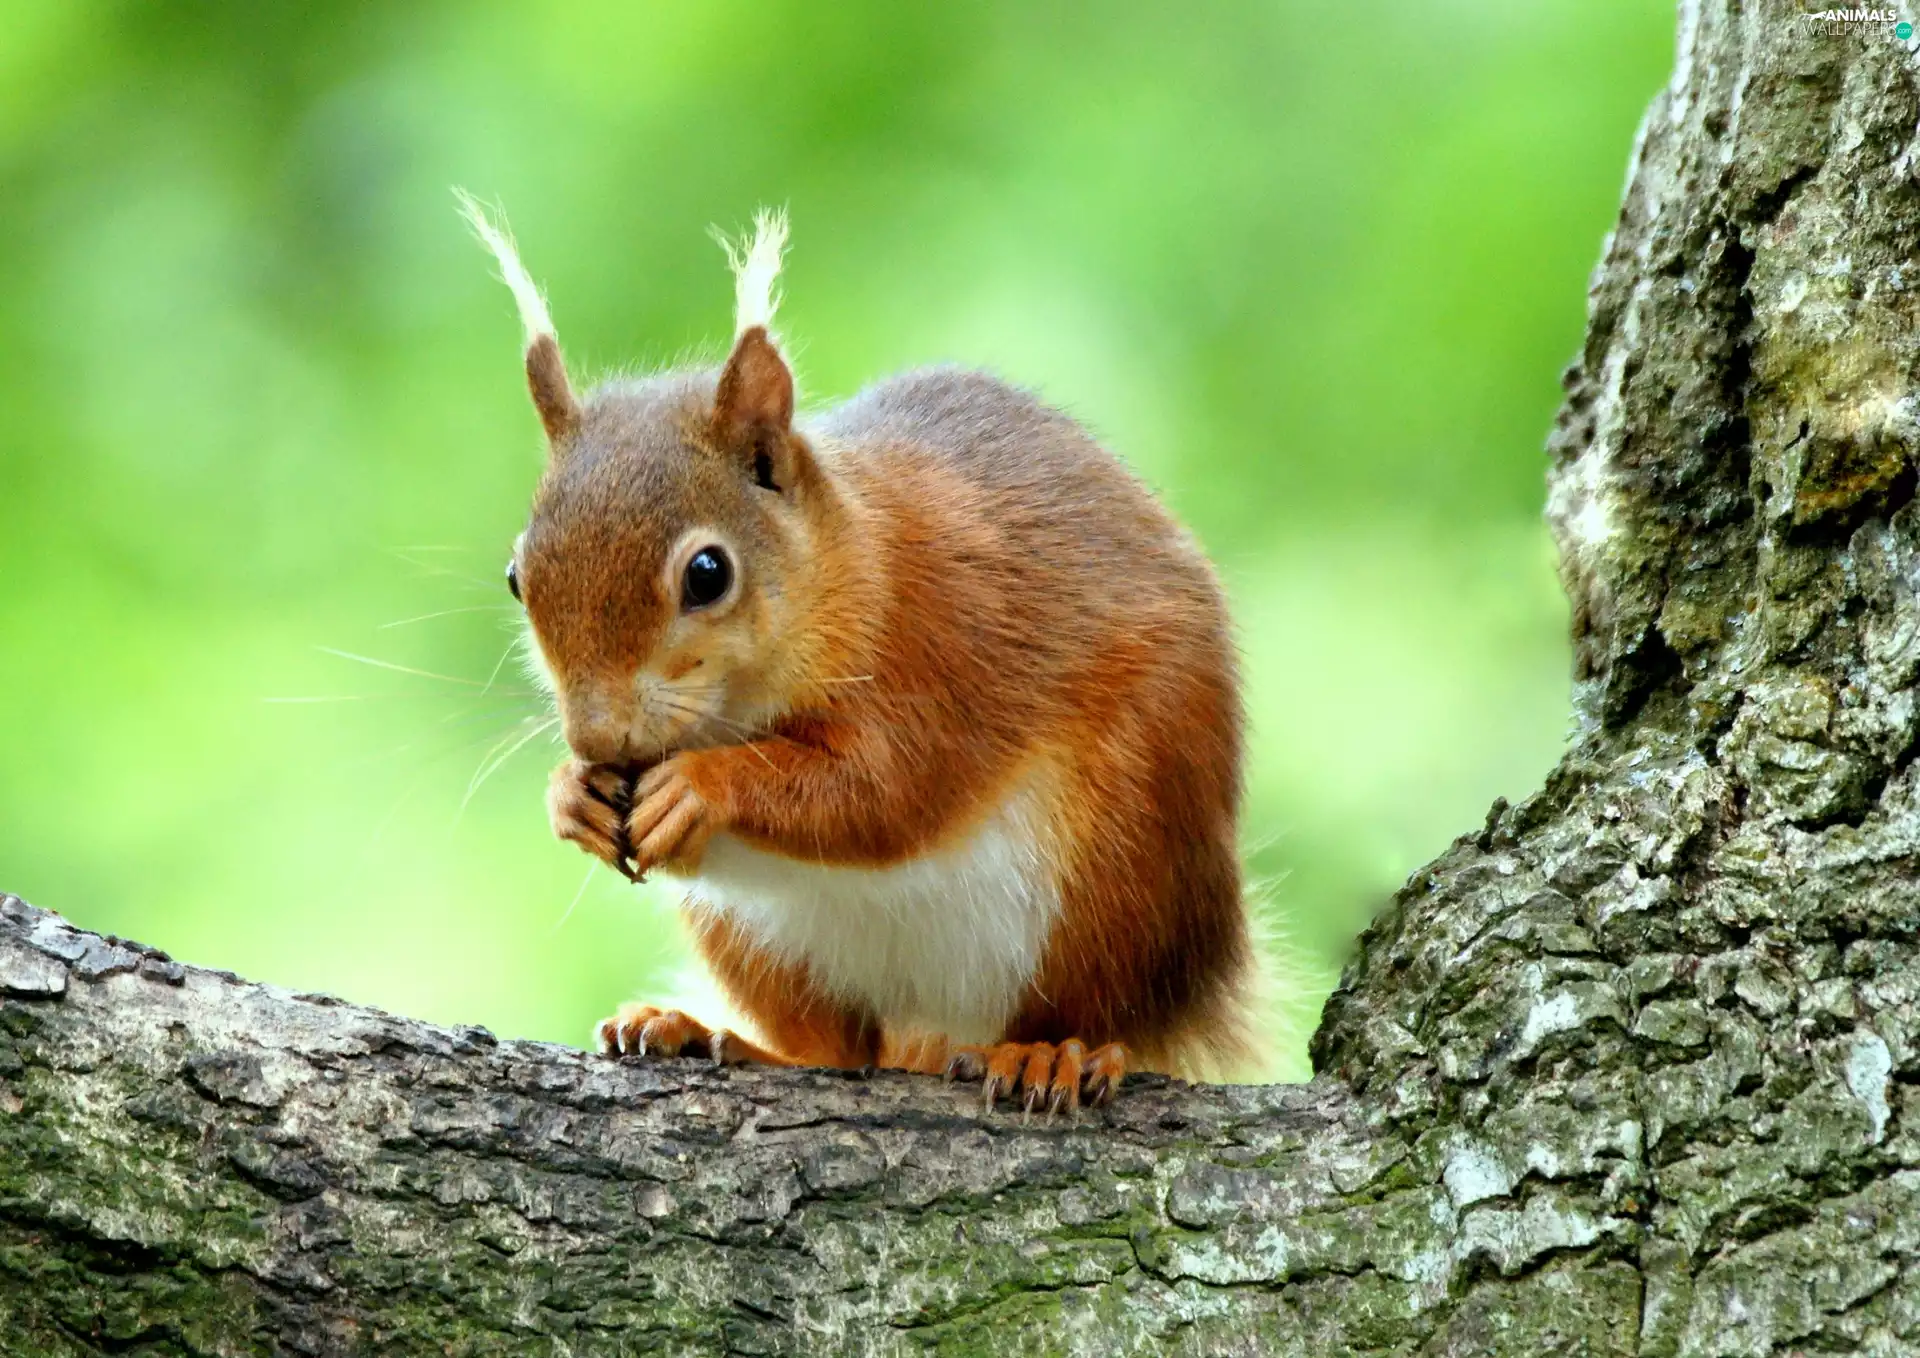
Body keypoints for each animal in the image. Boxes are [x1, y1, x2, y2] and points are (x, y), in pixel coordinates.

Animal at [460, 195, 1259, 1111]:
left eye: (708, 573)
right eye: (517, 578)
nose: (596, 739)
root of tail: (938, 1030)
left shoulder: (941, 642)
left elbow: (884, 790)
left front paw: (701, 788)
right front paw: (571, 796)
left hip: (1120, 861)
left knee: (1089, 1004)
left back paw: (1052, 1052)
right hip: (762, 943)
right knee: (836, 1049)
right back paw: (703, 1034)